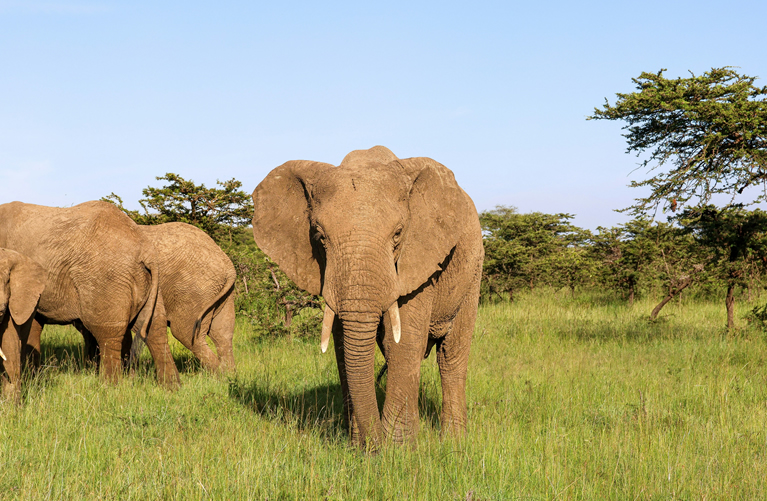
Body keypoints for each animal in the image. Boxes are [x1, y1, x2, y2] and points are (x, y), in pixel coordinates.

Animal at [128, 222, 237, 373]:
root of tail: (228, 265)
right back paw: (230, 375)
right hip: (222, 294)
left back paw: (221, 375)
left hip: (193, 290)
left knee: (187, 335)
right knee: (223, 335)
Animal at [252, 145, 483, 450]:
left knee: (451, 355)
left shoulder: (418, 258)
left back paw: (454, 443)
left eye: (398, 234)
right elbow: (342, 344)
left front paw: (398, 450)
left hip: (472, 271)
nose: (374, 448)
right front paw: (359, 446)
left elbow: (403, 342)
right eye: (319, 236)